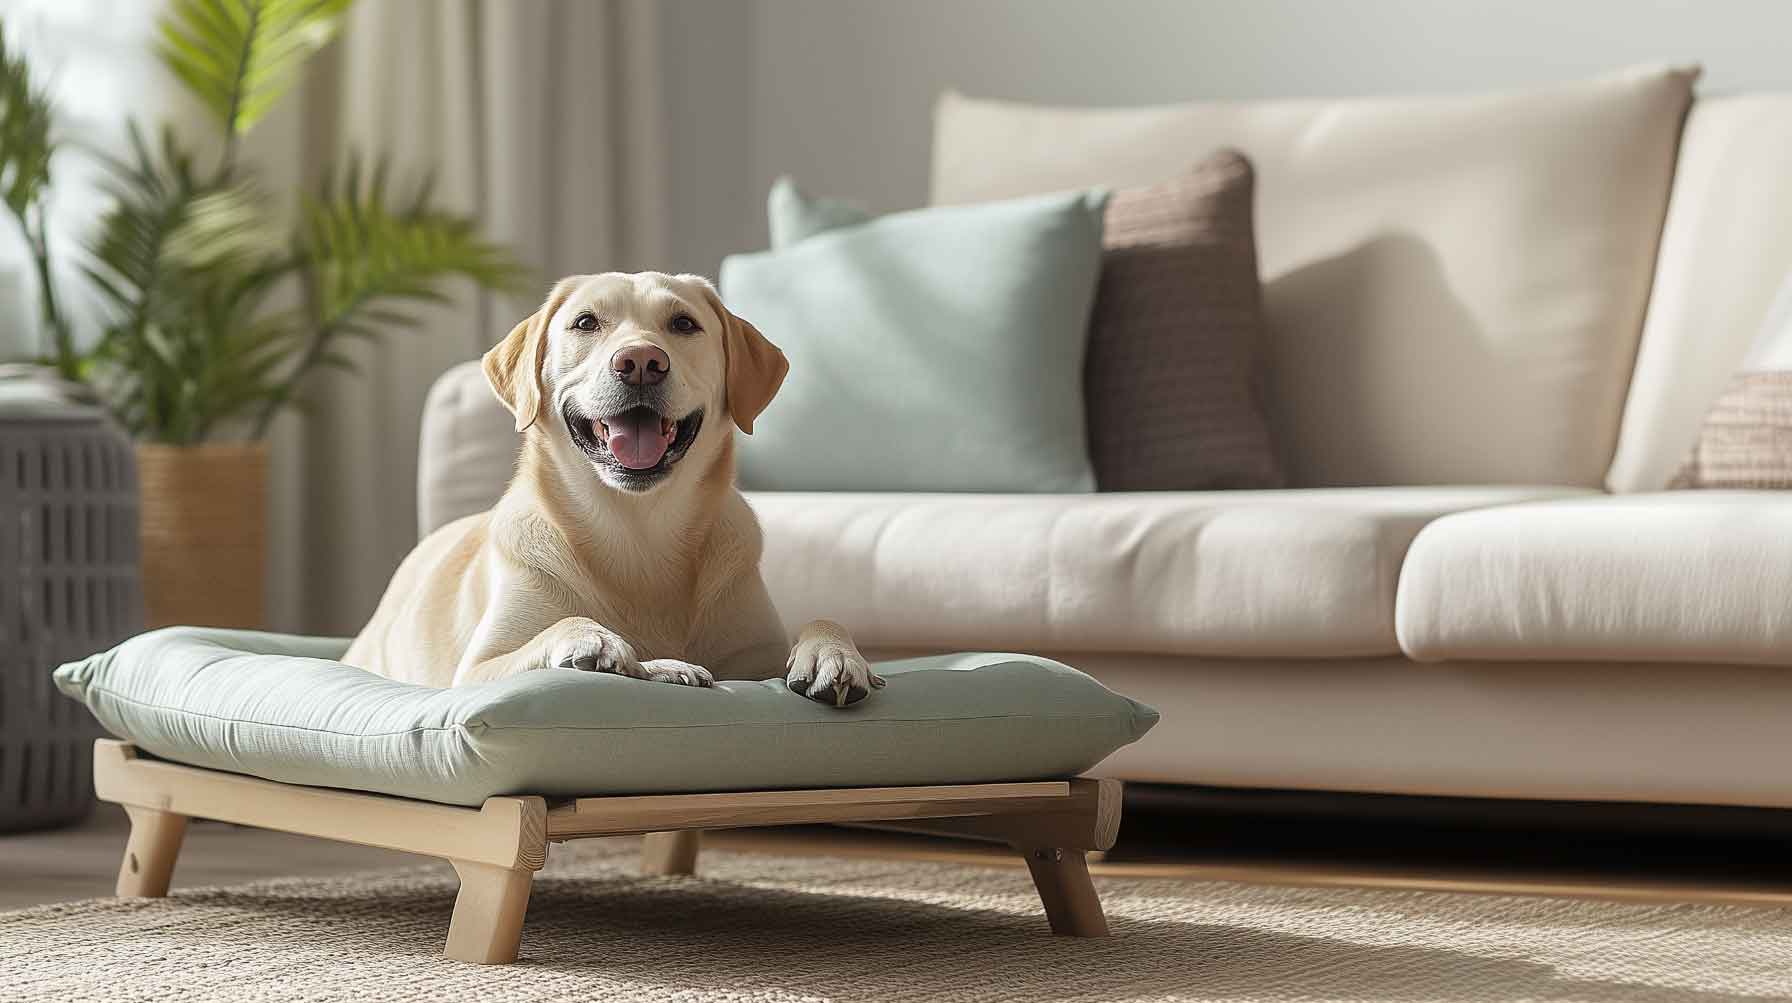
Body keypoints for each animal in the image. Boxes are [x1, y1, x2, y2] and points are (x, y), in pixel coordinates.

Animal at [340, 266, 881, 705]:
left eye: (684, 324)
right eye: (585, 323)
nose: (640, 361)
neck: (638, 530)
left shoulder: (757, 654)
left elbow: (821, 621)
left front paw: (833, 654)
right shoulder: (475, 671)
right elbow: (564, 627)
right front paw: (613, 647)